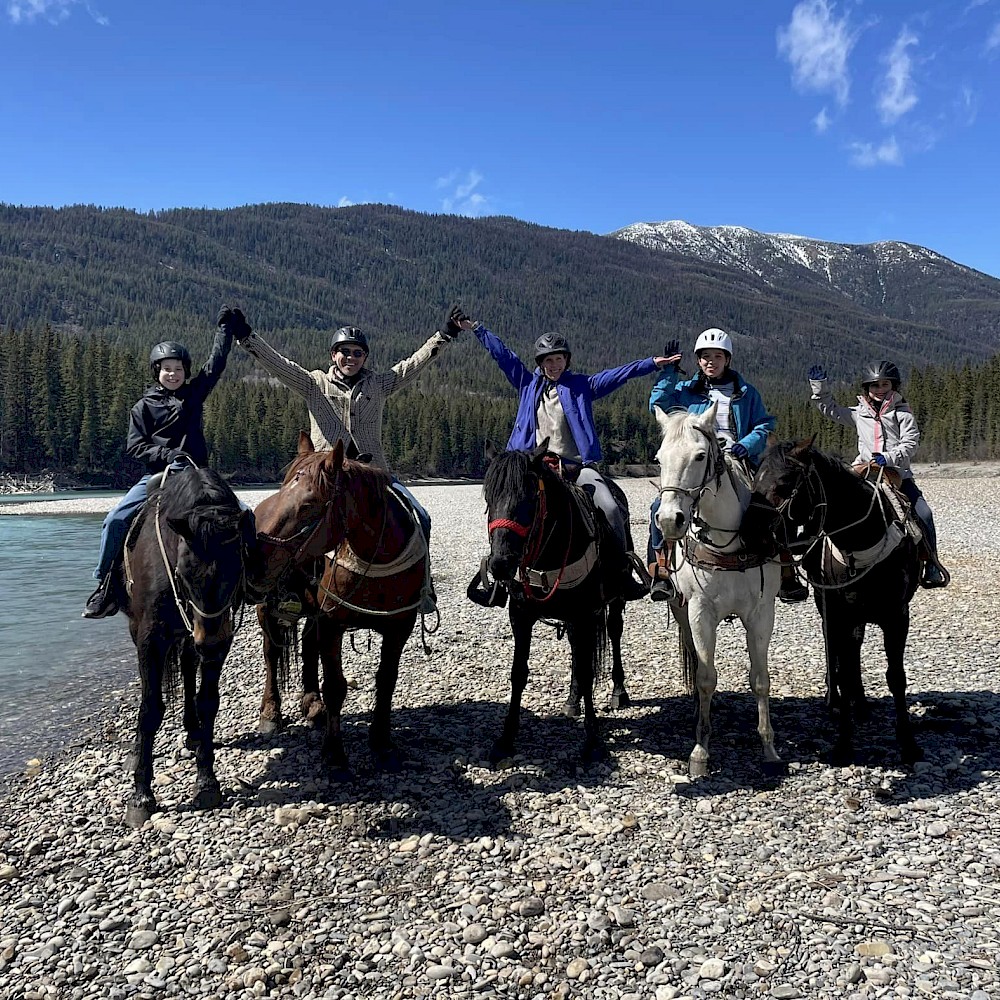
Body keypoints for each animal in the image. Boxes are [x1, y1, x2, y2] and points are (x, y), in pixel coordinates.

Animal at [120, 466, 256, 828]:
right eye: (183, 571)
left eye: (238, 565)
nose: (209, 642)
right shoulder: (149, 640)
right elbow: (150, 709)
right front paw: (141, 795)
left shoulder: (220, 639)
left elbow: (207, 701)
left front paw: (207, 781)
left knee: (187, 666)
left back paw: (193, 732)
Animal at [254, 434, 426, 776]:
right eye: (281, 490)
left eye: (308, 505)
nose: (256, 560)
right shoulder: (332, 622)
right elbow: (335, 685)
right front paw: (333, 754)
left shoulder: (400, 625)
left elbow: (386, 680)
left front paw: (382, 743)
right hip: (268, 608)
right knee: (271, 653)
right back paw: (271, 712)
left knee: (307, 646)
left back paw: (312, 703)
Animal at [478, 442, 632, 760]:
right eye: (488, 497)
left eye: (530, 498)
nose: (500, 563)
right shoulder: (520, 615)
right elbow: (519, 672)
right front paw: (506, 738)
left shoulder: (584, 614)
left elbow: (586, 672)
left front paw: (592, 740)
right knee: (576, 647)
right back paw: (572, 700)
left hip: (614, 601)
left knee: (614, 631)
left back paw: (618, 692)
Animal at [652, 402, 784, 776]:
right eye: (659, 458)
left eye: (700, 456)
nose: (670, 520)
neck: (729, 543)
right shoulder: (700, 612)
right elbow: (706, 677)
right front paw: (700, 750)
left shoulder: (761, 613)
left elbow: (760, 678)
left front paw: (769, 748)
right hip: (681, 609)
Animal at [752, 440, 920, 764]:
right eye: (755, 480)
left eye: (785, 483)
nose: (749, 531)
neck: (863, 539)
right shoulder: (840, 613)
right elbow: (842, 671)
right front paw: (843, 744)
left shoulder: (897, 616)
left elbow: (896, 677)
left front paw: (908, 744)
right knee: (837, 652)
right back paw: (837, 701)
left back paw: (861, 704)